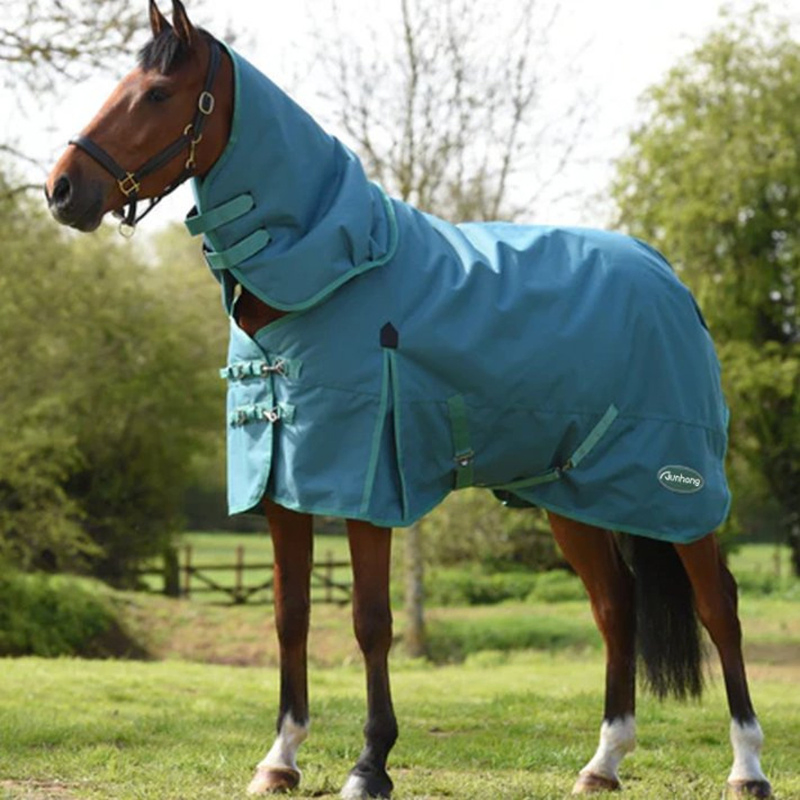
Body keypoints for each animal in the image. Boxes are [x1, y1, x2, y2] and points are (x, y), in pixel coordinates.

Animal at [45, 2, 772, 798]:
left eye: (156, 95)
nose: (62, 190)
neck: (330, 273)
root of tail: (668, 278)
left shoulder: (366, 485)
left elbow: (370, 621)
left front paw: (370, 764)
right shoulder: (282, 490)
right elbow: (291, 616)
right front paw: (280, 757)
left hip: (678, 491)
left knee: (719, 608)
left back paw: (747, 766)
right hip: (572, 495)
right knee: (616, 608)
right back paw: (602, 763)